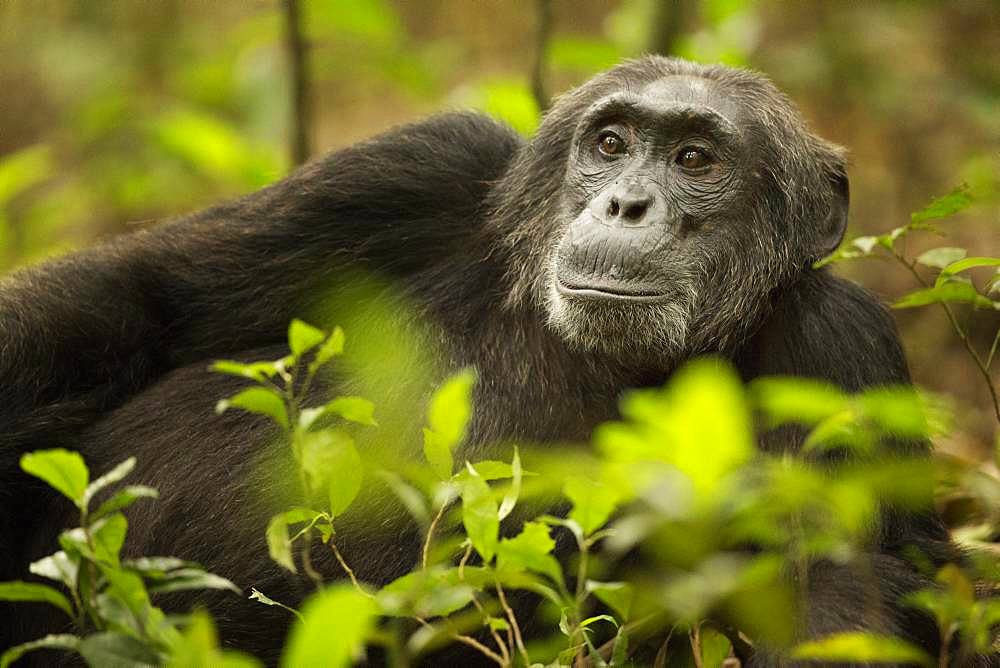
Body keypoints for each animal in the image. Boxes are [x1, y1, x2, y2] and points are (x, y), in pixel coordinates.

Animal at [0, 56, 968, 664]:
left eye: (697, 158)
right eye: (611, 144)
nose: (626, 203)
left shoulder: (842, 354)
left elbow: (841, 598)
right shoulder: (413, 172)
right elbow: (139, 301)